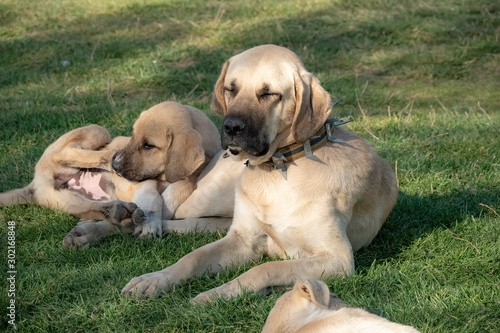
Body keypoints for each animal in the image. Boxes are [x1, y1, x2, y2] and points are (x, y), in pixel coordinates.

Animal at [119, 44, 396, 300]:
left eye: (269, 93)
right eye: (231, 88)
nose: (231, 127)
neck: (276, 170)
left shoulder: (336, 259)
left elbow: (265, 269)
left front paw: (216, 294)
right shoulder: (242, 239)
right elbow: (193, 257)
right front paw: (155, 279)